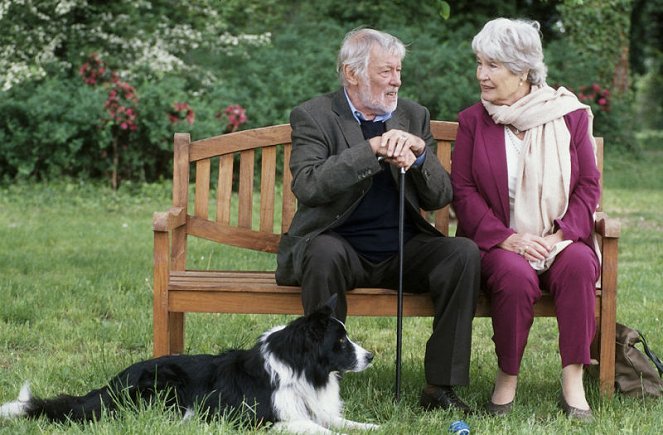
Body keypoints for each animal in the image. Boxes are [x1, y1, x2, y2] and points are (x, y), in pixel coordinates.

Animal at [0, 298, 378, 434]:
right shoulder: (255, 418)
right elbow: (313, 427)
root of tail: (111, 385)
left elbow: (341, 421)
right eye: (340, 343)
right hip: (166, 384)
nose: (370, 356)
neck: (301, 367)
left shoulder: (313, 406)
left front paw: (372, 426)